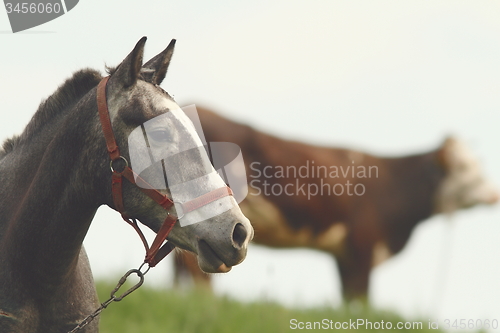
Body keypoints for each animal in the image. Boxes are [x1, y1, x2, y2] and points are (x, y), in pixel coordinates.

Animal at [175, 105, 496, 298]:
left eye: (478, 164)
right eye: (463, 168)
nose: (494, 194)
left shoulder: (345, 255)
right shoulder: (363, 248)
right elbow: (362, 301)